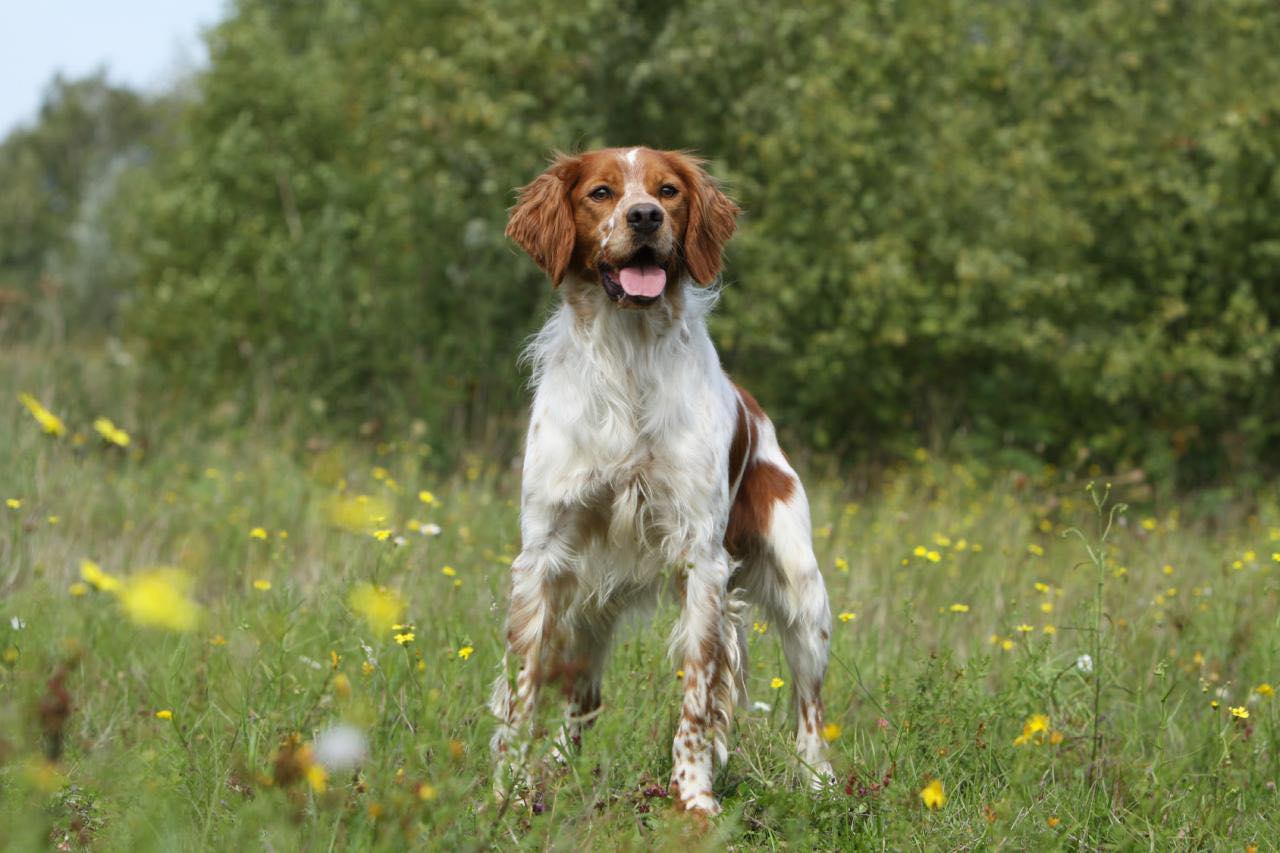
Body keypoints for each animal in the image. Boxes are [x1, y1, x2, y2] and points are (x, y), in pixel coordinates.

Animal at [491, 147, 839, 819]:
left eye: (669, 190)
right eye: (601, 192)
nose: (646, 217)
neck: (628, 357)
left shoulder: (702, 560)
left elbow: (699, 700)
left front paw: (695, 799)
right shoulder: (542, 558)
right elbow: (522, 693)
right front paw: (508, 793)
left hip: (803, 592)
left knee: (809, 708)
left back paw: (821, 786)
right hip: (588, 605)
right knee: (582, 701)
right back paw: (561, 771)